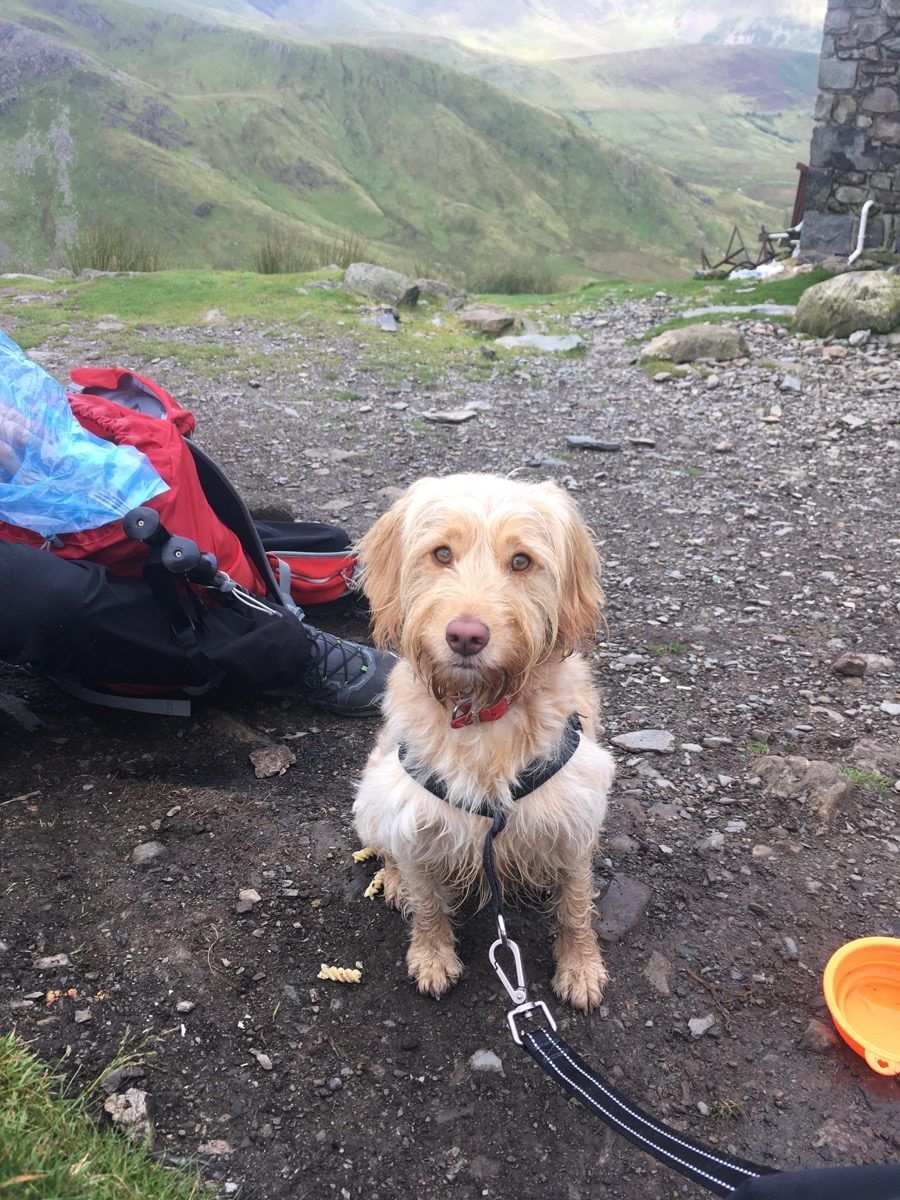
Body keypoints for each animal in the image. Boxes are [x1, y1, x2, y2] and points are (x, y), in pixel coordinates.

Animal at [355, 472, 619, 1008]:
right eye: (441, 553)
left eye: (521, 561)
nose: (466, 636)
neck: (482, 712)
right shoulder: (413, 817)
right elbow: (427, 902)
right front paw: (432, 956)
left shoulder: (577, 814)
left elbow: (575, 904)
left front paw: (580, 965)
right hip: (370, 794)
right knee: (387, 851)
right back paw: (391, 879)